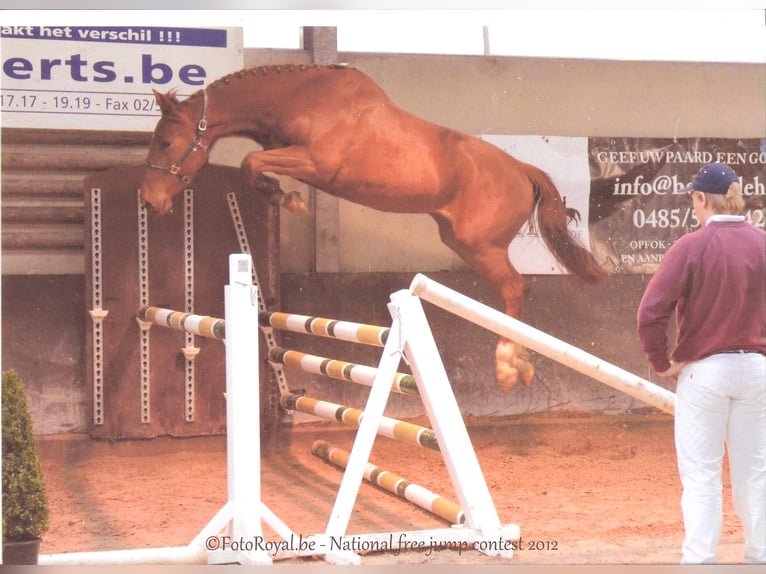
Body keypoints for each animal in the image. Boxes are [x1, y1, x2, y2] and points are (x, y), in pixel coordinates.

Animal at [141, 65, 608, 394]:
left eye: (165, 142)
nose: (149, 200)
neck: (302, 98)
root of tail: (522, 169)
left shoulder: (315, 162)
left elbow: (251, 163)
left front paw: (286, 198)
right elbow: (253, 163)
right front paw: (283, 195)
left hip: (481, 246)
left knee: (516, 290)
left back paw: (508, 367)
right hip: (462, 242)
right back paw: (519, 365)